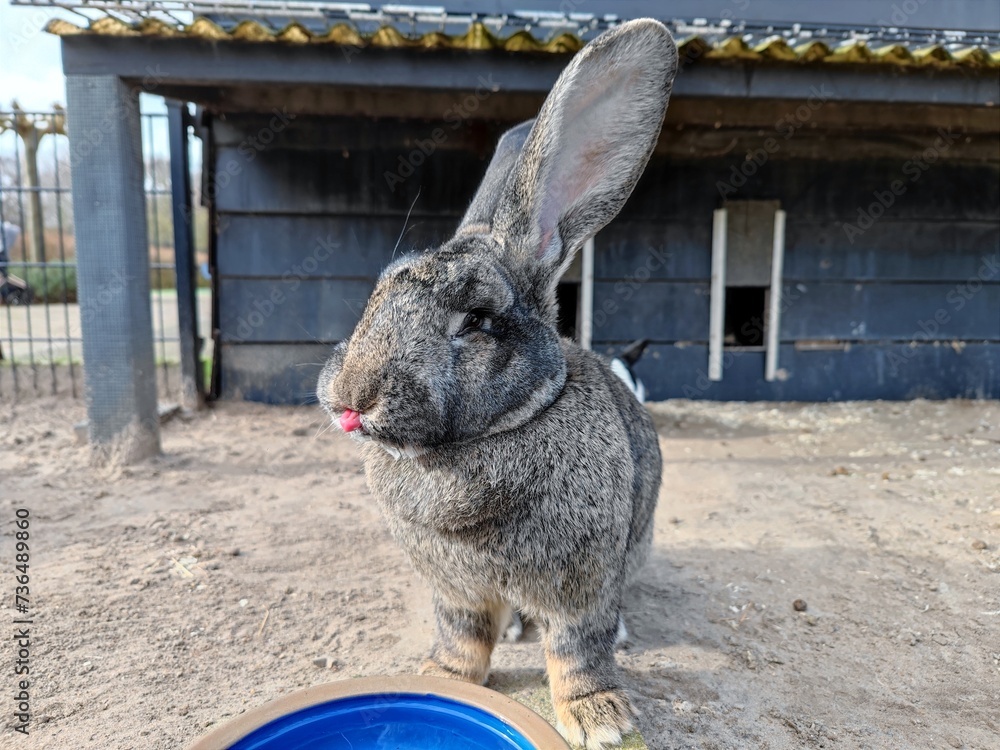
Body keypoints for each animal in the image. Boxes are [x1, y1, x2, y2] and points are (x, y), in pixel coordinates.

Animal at [317, 18, 676, 749]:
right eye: (379, 290)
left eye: (477, 320)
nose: (350, 398)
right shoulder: (455, 591)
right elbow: (463, 636)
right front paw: (439, 678)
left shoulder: (580, 587)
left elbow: (576, 648)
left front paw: (600, 719)